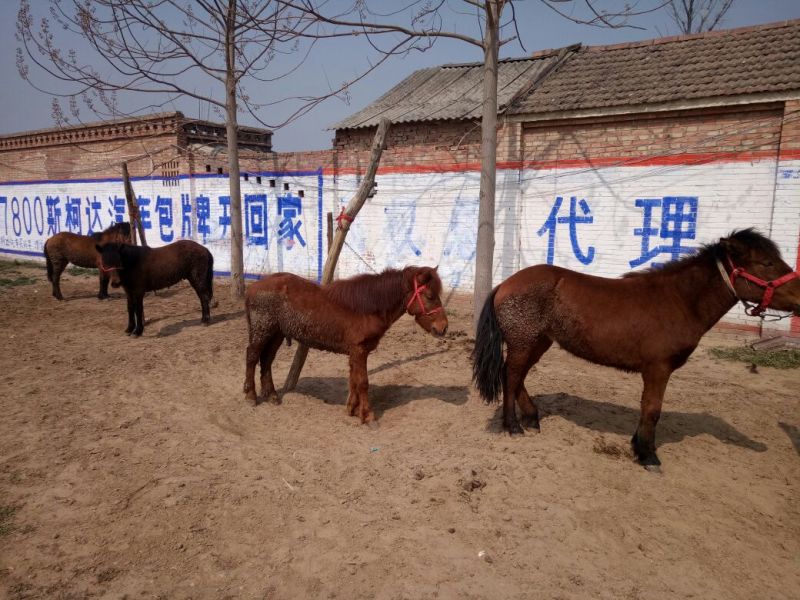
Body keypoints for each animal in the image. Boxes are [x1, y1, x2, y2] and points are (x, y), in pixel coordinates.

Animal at [244, 266, 449, 425]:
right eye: (430, 296)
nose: (443, 327)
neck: (368, 307)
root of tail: (253, 287)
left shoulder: (355, 352)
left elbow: (354, 380)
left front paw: (353, 409)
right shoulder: (359, 350)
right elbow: (363, 382)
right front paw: (367, 415)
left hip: (276, 333)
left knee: (267, 360)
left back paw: (271, 395)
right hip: (262, 330)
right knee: (252, 357)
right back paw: (251, 396)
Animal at [472, 229, 800, 469]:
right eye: (767, 263)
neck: (679, 300)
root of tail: (505, 284)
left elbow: (647, 408)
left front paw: (638, 444)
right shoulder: (658, 368)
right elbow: (653, 409)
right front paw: (648, 454)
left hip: (538, 341)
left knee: (518, 376)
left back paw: (531, 418)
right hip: (524, 341)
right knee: (511, 375)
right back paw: (513, 426)